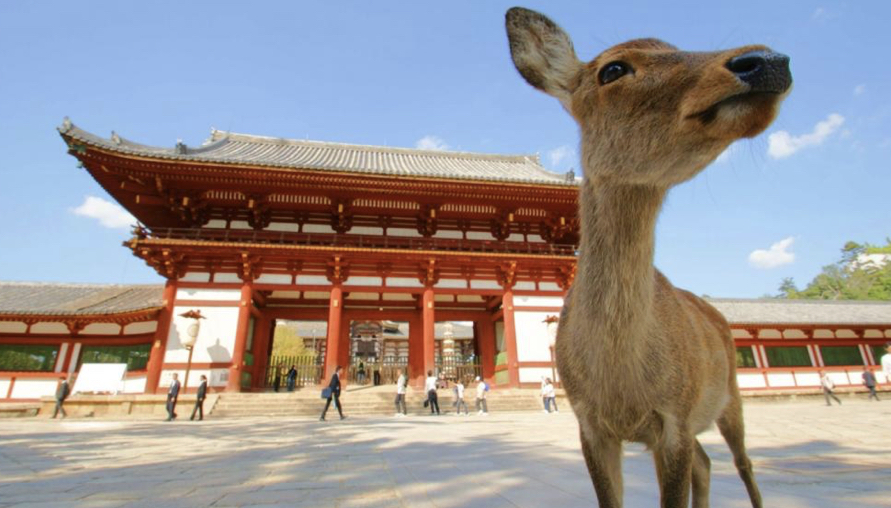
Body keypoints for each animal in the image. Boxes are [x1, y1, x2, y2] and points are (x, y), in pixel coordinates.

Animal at [506, 6, 792, 508]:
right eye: (613, 69)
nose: (766, 60)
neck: (620, 385)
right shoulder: (592, 425)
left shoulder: (674, 417)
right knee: (707, 462)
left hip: (730, 395)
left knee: (743, 463)